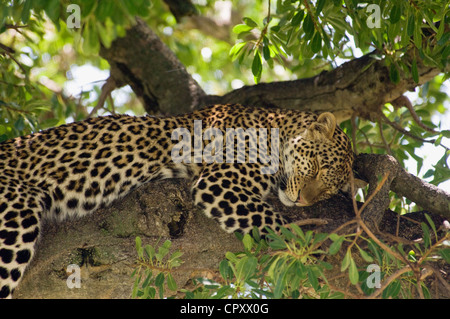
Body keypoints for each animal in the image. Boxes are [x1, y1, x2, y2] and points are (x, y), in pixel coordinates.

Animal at [0, 104, 358, 298]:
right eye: (319, 166)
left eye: (327, 191)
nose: (302, 201)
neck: (276, 125)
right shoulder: (221, 182)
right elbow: (276, 225)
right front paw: (316, 261)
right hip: (15, 216)